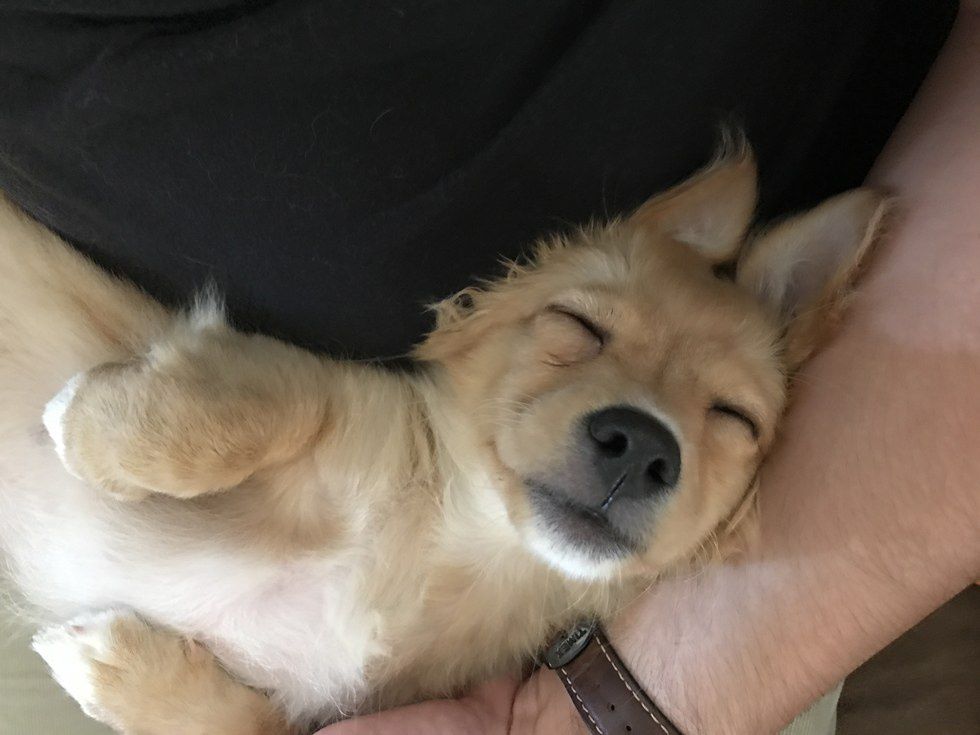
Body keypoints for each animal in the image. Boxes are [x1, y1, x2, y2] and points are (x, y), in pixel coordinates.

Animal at [0, 144, 886, 734]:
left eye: (734, 418)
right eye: (578, 326)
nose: (641, 444)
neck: (458, 545)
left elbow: (250, 723)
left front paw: (116, 672)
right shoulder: (333, 389)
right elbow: (269, 399)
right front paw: (88, 425)